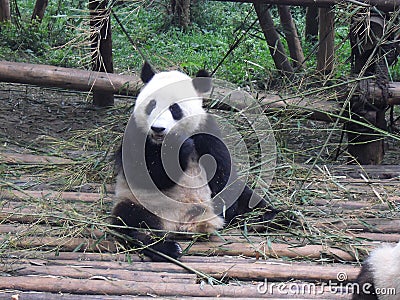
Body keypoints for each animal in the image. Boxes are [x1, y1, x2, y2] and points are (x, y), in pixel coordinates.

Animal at [111, 62, 276, 262]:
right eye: (152, 105)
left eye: (174, 108)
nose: (158, 128)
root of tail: (186, 222)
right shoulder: (136, 135)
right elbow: (146, 175)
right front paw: (178, 147)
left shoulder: (206, 129)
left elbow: (222, 169)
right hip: (139, 203)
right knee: (131, 222)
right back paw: (166, 248)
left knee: (249, 200)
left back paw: (278, 217)